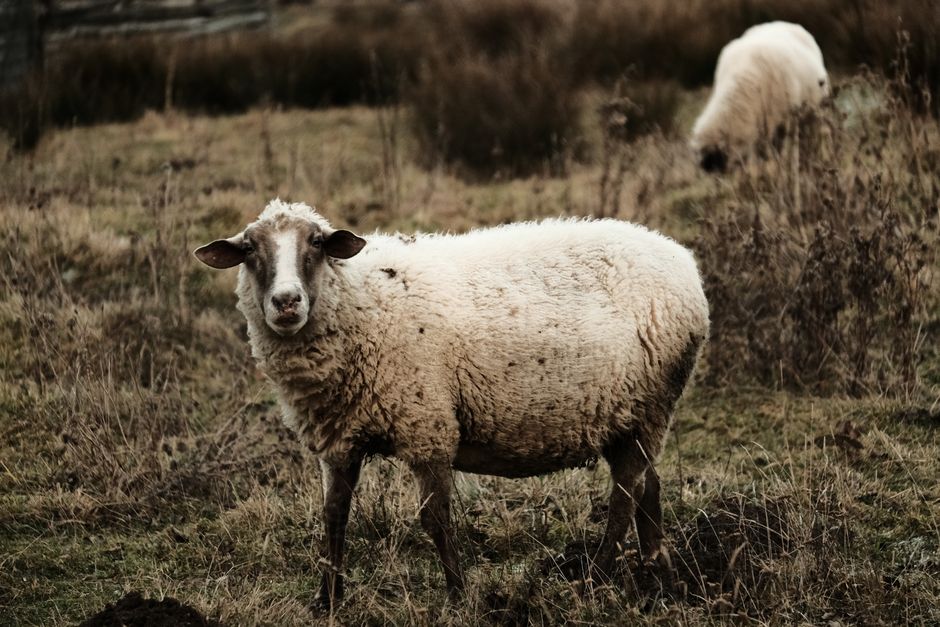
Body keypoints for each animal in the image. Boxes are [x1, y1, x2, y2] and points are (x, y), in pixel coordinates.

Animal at [194, 199, 709, 606]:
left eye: (317, 244)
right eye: (249, 250)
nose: (286, 302)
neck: (362, 300)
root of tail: (682, 259)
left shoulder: (427, 423)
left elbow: (436, 518)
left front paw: (458, 595)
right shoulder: (338, 437)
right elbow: (334, 515)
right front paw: (328, 600)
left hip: (650, 405)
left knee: (625, 494)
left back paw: (596, 579)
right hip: (629, 414)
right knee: (648, 486)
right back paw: (659, 578)